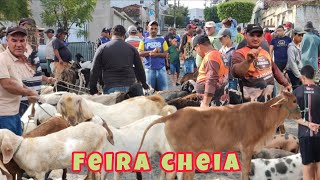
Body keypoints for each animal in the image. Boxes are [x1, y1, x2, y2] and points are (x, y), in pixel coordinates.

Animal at [139, 92, 302, 179]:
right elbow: (244, 172)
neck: (263, 116)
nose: (301, 114)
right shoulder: (247, 148)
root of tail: (173, 115)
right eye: (294, 100)